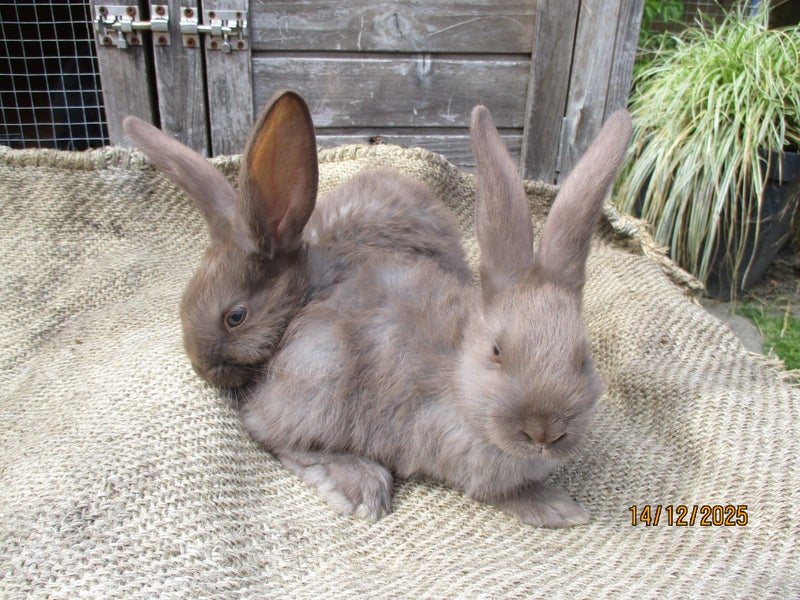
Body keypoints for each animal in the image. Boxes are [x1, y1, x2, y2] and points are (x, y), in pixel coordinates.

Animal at [238, 105, 632, 528]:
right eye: (497, 352)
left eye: (583, 358)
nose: (544, 432)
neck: (460, 381)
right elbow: (503, 493)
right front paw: (556, 507)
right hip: (321, 381)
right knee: (274, 436)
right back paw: (361, 486)